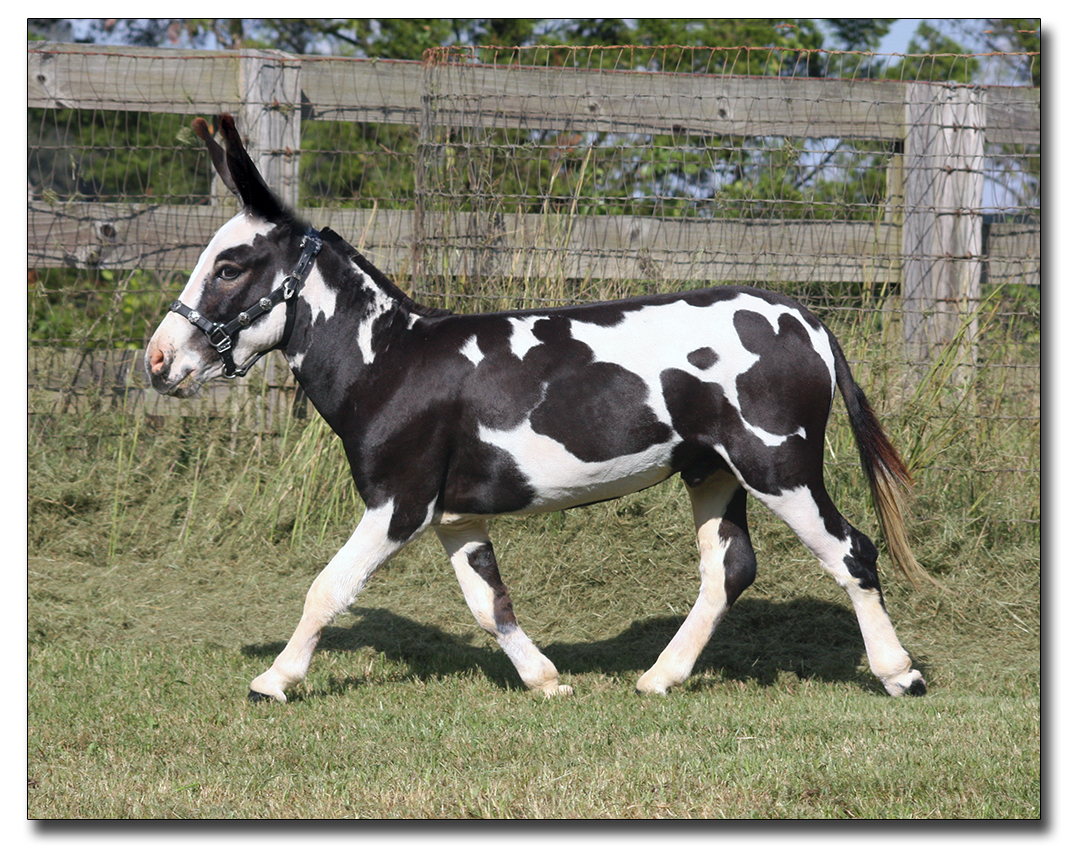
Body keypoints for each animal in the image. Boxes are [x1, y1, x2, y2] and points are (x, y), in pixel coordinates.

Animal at [146, 114, 927, 702]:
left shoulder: (398, 504)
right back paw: (660, 677)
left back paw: (899, 673)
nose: (156, 361)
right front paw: (547, 681)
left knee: (851, 551)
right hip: (712, 471)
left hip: (779, 467)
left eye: (229, 266)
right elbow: (490, 605)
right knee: (727, 571)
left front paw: (274, 680)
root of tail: (805, 317)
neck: (392, 360)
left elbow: (326, 588)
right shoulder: (455, 518)